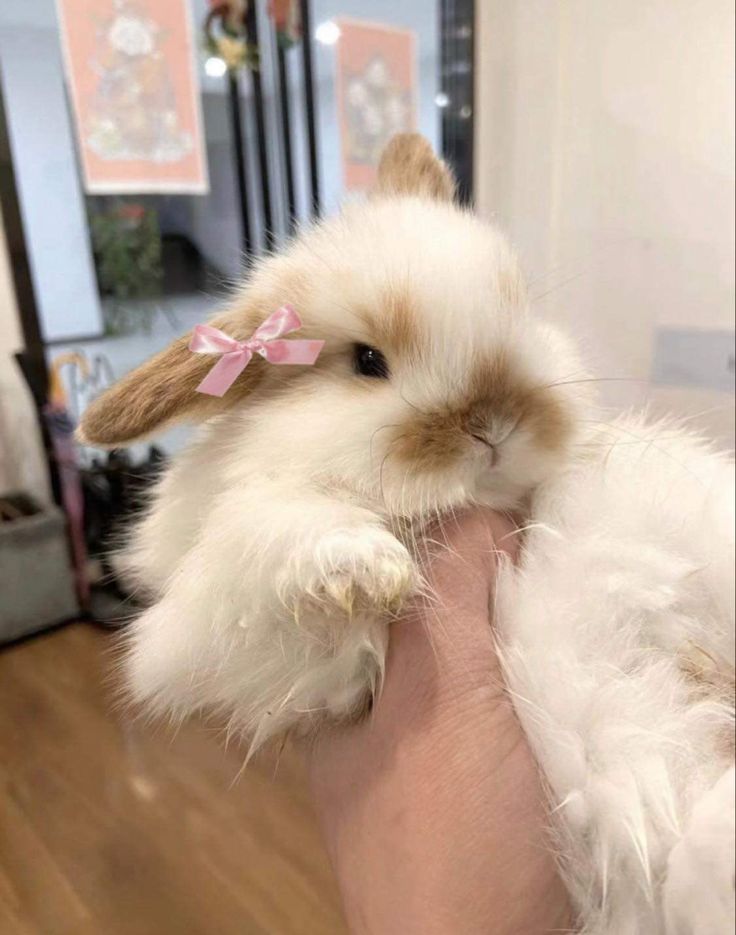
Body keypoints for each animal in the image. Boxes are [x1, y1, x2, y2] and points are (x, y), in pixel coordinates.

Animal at [77, 133, 732, 935]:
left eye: (516, 310)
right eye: (367, 361)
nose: (494, 424)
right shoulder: (252, 648)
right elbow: (273, 532)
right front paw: (365, 568)